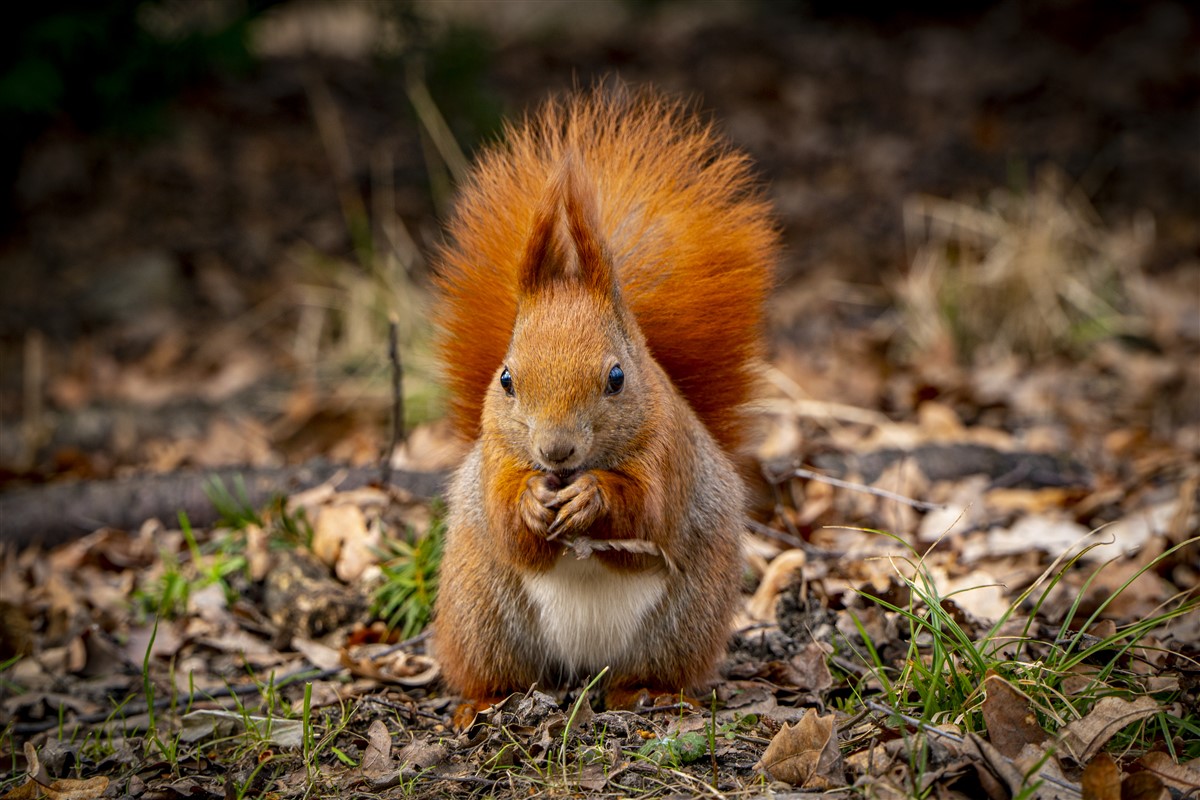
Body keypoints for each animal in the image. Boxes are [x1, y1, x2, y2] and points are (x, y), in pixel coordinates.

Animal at [432, 87, 777, 714]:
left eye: (617, 377)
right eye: (506, 379)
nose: (556, 451)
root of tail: (586, 668)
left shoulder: (669, 450)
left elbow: (649, 508)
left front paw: (592, 497)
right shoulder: (496, 456)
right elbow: (505, 520)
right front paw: (530, 502)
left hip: (684, 620)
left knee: (654, 668)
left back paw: (647, 693)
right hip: (483, 615)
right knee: (496, 669)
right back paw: (483, 703)